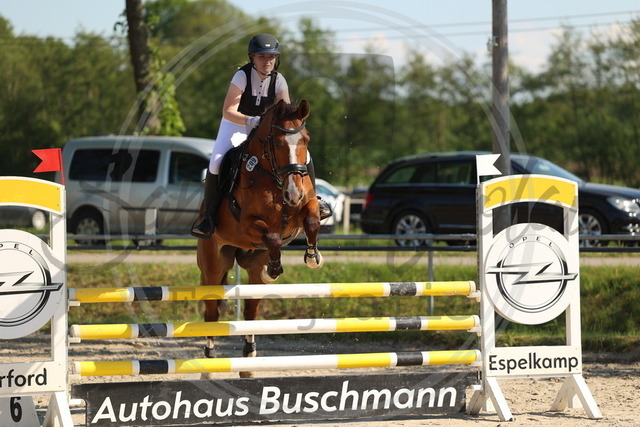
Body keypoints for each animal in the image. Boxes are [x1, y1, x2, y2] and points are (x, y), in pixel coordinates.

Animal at [196, 99, 324, 378]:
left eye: (306, 140)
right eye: (276, 142)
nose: (293, 193)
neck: (273, 178)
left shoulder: (303, 208)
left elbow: (311, 220)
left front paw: (312, 257)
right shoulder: (248, 225)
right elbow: (273, 237)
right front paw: (274, 268)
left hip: (251, 269)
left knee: (250, 311)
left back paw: (248, 363)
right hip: (213, 265)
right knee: (211, 313)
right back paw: (208, 366)